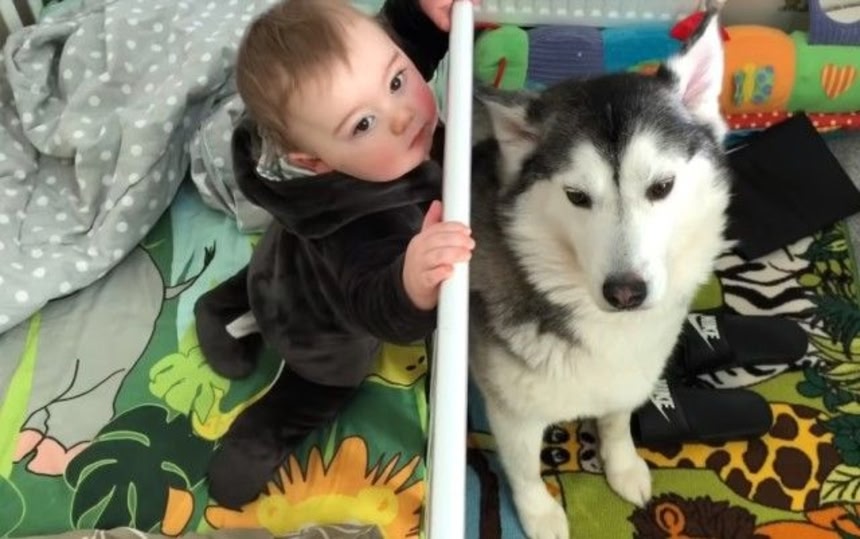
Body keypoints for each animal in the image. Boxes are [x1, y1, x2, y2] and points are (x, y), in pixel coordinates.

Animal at [467, 13, 731, 539]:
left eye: (662, 186)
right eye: (576, 196)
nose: (625, 291)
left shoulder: (630, 376)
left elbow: (615, 421)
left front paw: (623, 464)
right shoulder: (513, 413)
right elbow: (524, 468)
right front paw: (539, 513)